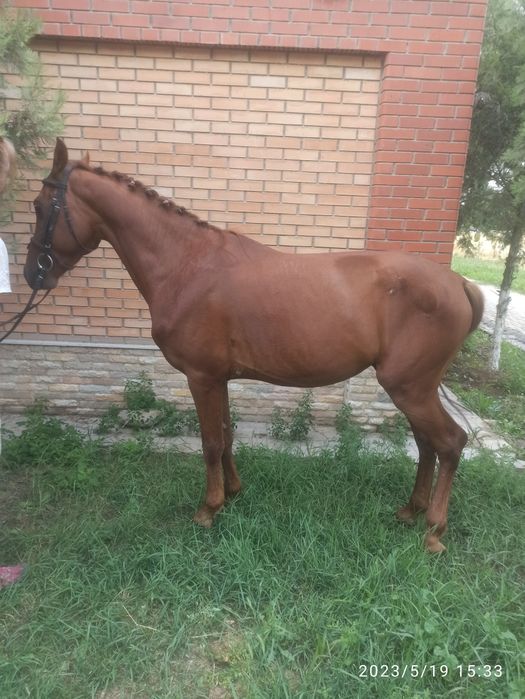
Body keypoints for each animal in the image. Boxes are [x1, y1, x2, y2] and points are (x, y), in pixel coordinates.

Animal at [23, 139, 484, 553]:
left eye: (40, 207)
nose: (32, 274)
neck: (187, 266)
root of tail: (458, 283)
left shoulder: (201, 377)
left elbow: (210, 442)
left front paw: (208, 510)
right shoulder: (219, 378)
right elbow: (226, 436)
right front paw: (234, 492)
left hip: (409, 388)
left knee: (450, 443)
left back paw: (434, 532)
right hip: (415, 390)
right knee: (427, 443)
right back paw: (410, 510)